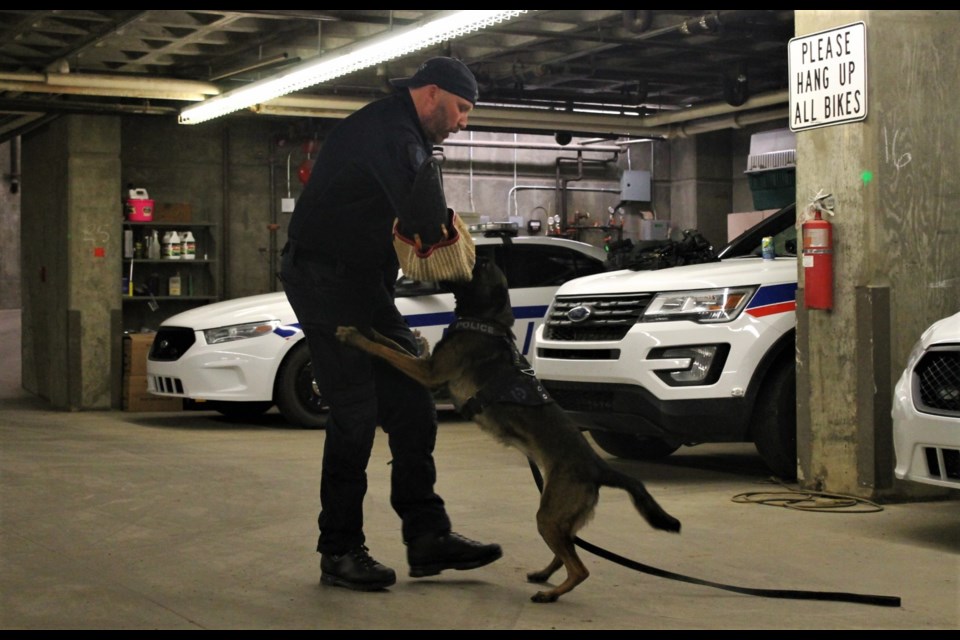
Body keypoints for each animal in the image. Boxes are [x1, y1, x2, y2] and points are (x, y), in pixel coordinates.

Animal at [334, 256, 680, 604]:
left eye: (477, 267)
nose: (469, 257)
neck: (486, 321)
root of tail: (597, 467)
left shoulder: (428, 372)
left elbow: (388, 351)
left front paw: (354, 336)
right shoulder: (425, 363)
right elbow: (390, 342)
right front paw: (368, 327)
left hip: (548, 515)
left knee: (580, 568)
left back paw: (551, 594)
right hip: (560, 518)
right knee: (568, 552)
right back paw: (544, 575)